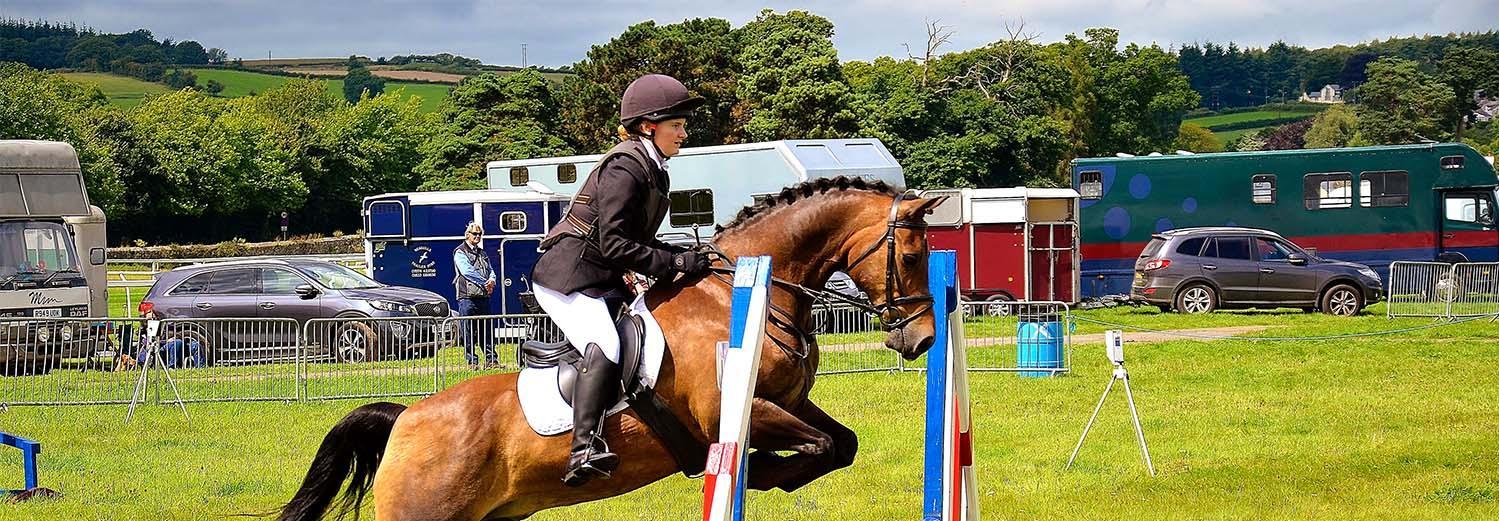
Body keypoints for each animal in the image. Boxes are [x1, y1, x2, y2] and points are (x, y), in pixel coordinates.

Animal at [275, 175, 941, 521]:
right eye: (911, 255)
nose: (922, 339)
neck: (748, 293)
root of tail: (404, 417)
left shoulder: (789, 403)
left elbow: (840, 443)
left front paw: (768, 472)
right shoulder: (730, 410)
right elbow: (817, 444)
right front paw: (761, 474)